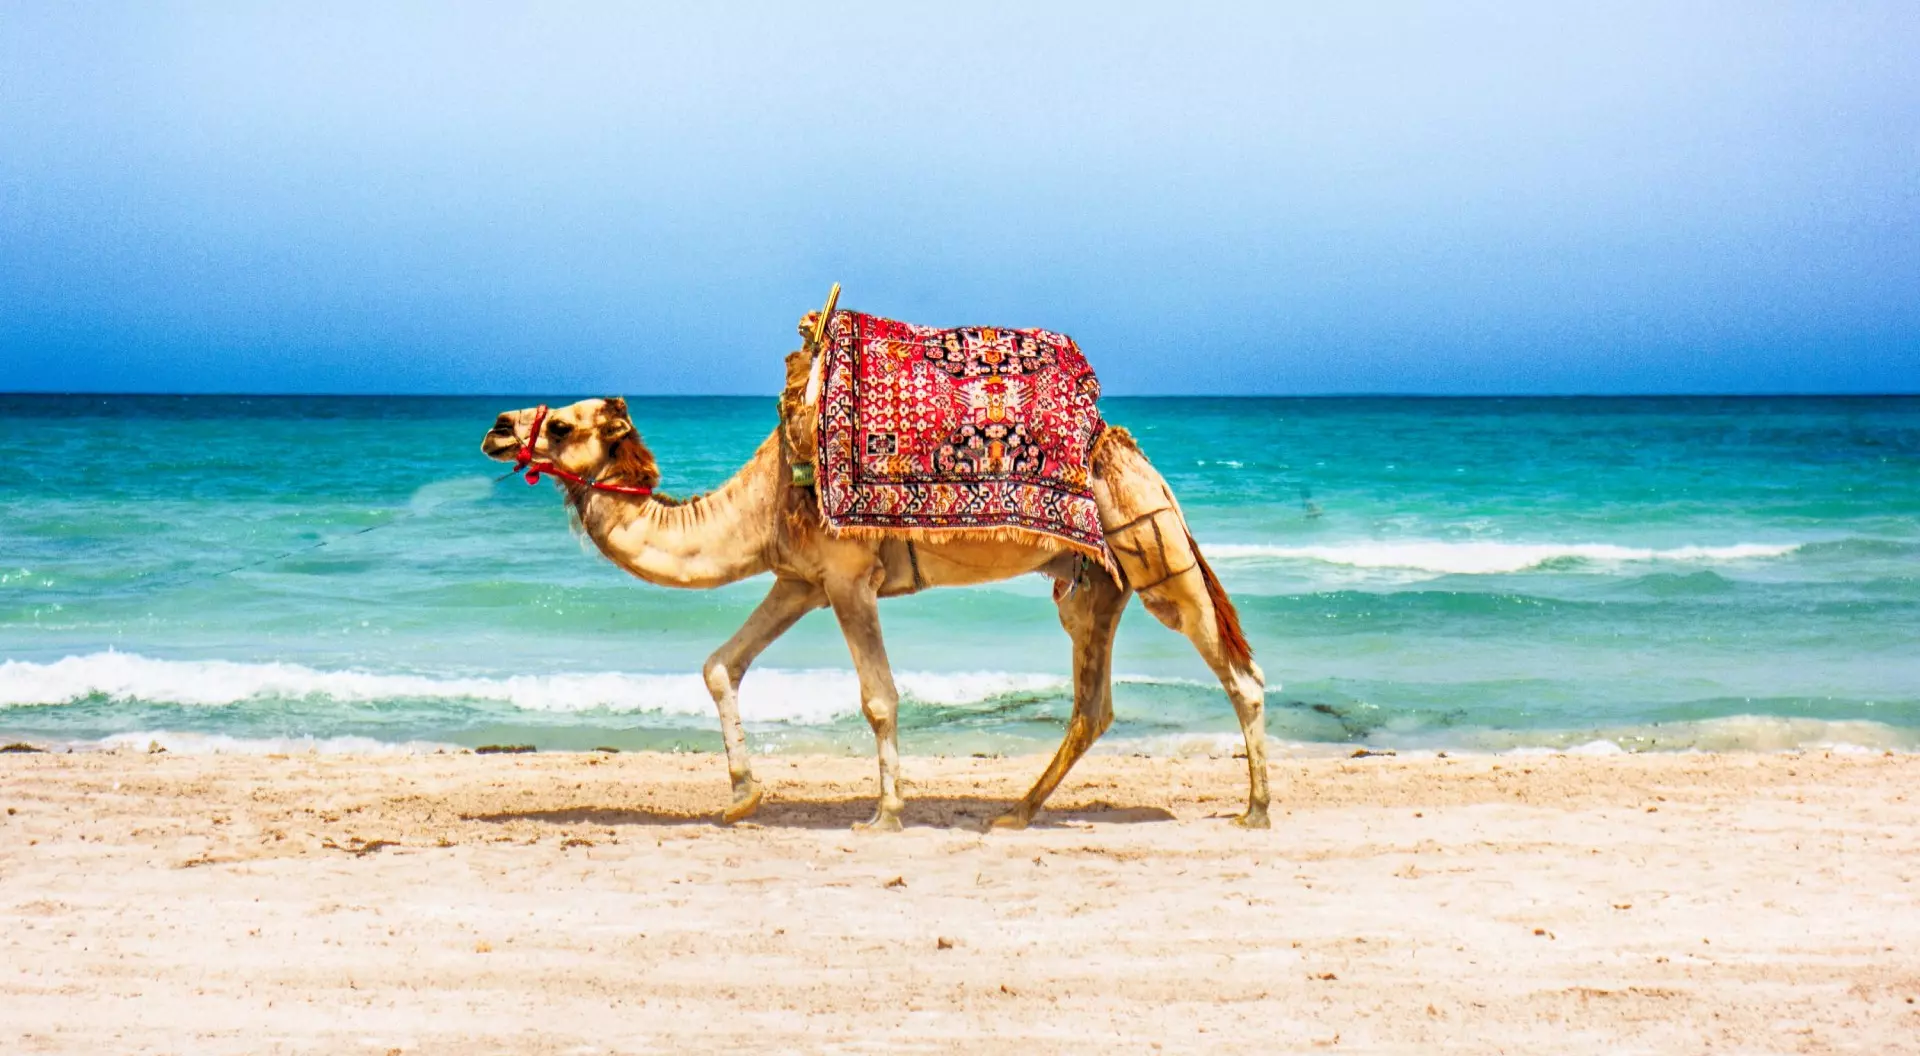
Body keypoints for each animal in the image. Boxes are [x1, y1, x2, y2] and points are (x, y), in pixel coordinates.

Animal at [480, 351, 1269, 832]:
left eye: (561, 423)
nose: (495, 427)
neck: (760, 502)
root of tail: (1129, 449)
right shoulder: (797, 579)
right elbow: (719, 666)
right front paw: (742, 797)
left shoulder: (846, 576)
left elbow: (880, 698)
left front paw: (884, 814)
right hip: (1093, 585)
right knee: (1093, 704)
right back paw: (1014, 813)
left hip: (1153, 546)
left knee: (1240, 676)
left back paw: (1256, 810)